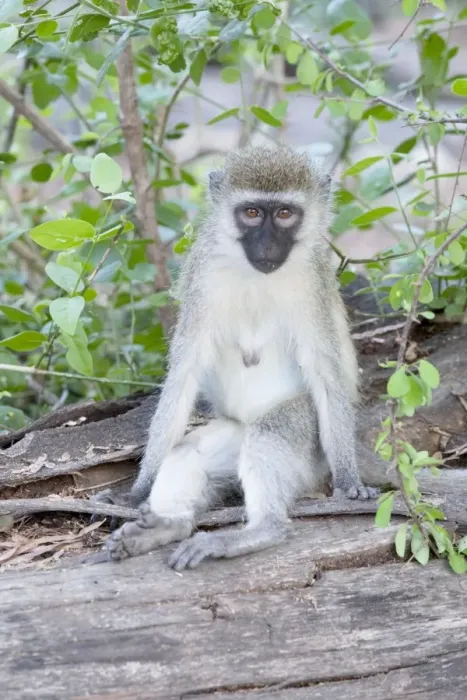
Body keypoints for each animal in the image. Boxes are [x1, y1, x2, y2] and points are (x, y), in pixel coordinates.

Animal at [103, 144, 393, 571]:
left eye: (285, 214)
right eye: (252, 213)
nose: (268, 246)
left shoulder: (313, 282)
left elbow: (325, 373)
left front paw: (348, 481)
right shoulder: (203, 274)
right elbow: (184, 373)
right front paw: (136, 492)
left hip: (309, 451)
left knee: (272, 432)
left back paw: (258, 531)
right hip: (232, 433)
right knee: (190, 452)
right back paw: (167, 527)